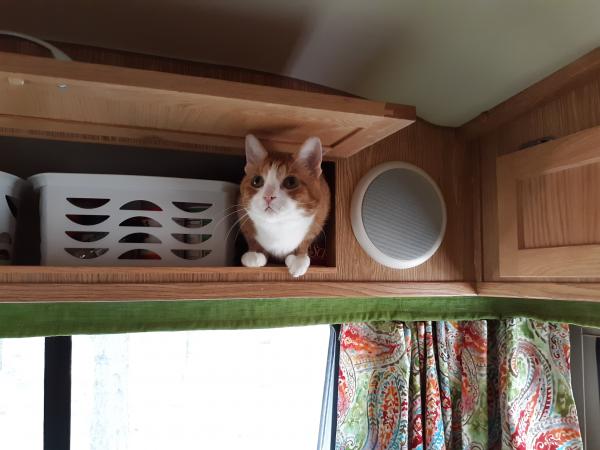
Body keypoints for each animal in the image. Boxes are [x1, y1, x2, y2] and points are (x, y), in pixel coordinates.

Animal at [239, 133, 332, 278]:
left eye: (291, 182)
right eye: (257, 181)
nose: (268, 196)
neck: (279, 225)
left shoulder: (320, 214)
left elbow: (306, 240)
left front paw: (299, 257)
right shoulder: (242, 215)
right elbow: (251, 238)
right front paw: (255, 253)